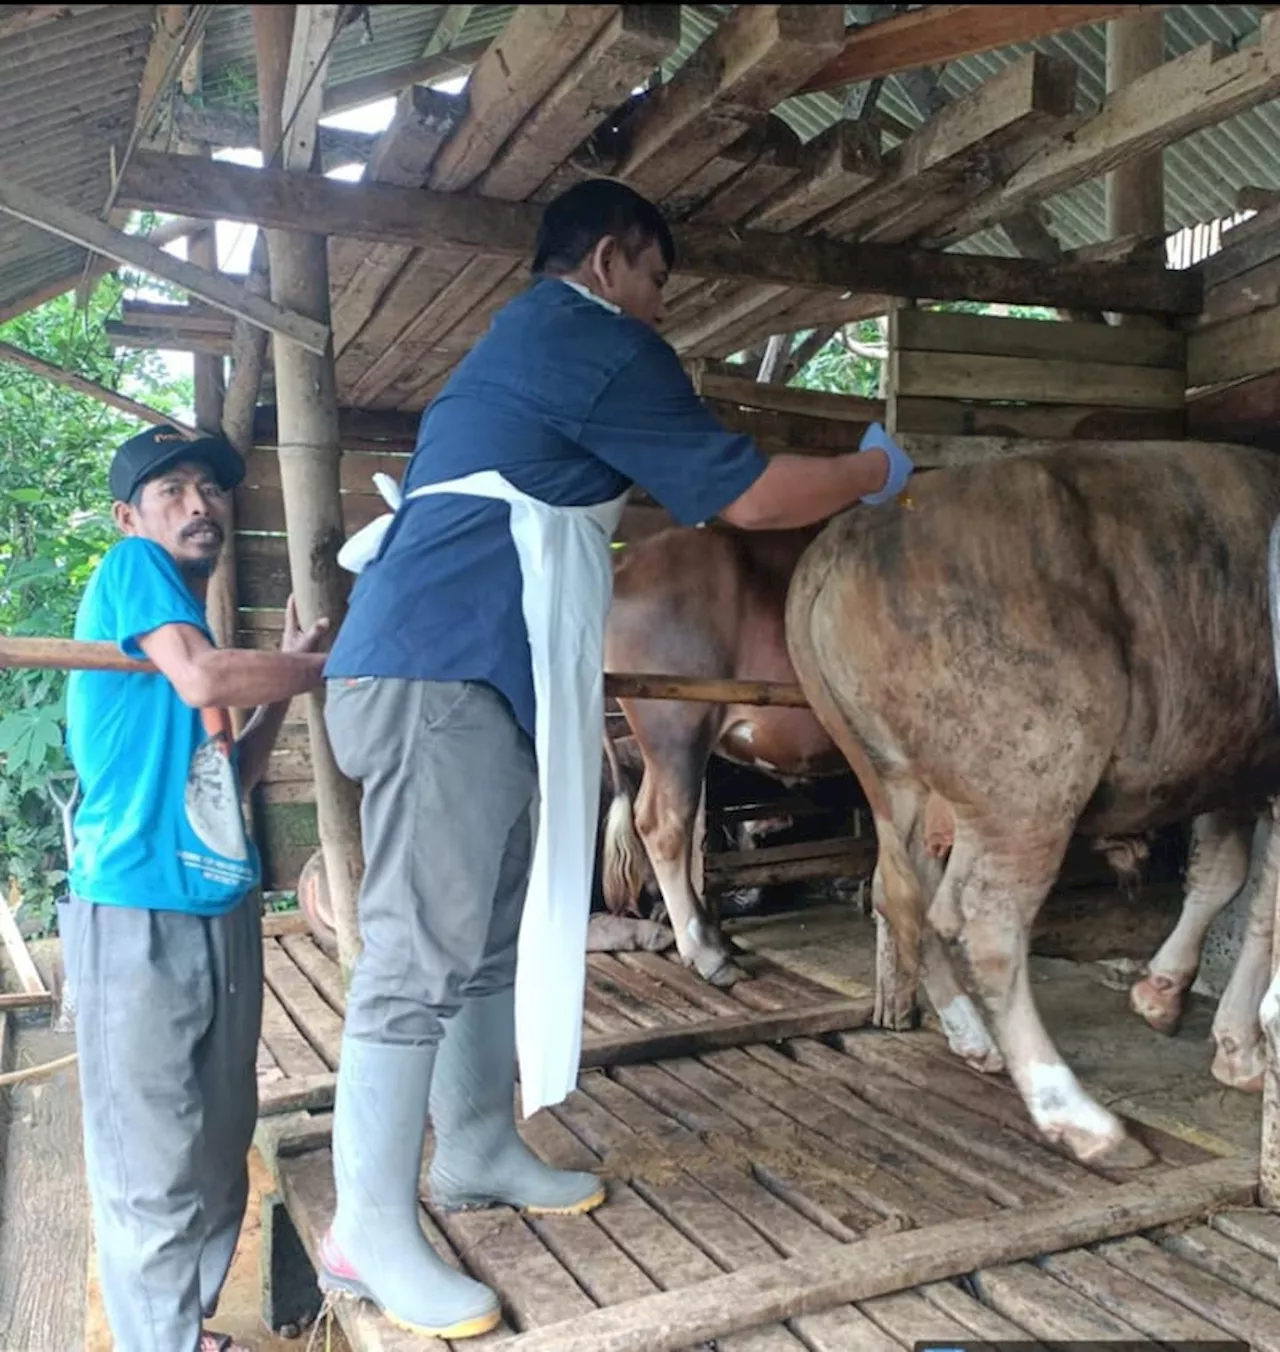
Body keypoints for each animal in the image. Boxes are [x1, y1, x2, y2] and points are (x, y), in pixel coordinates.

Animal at [783, 440, 1280, 1162]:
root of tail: (851, 531)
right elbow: (1264, 906)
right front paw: (1242, 1047)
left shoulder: (1231, 764)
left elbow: (1221, 876)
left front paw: (1171, 999)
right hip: (1033, 774)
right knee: (984, 923)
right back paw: (1078, 1117)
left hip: (895, 780)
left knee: (903, 897)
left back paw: (973, 1038)